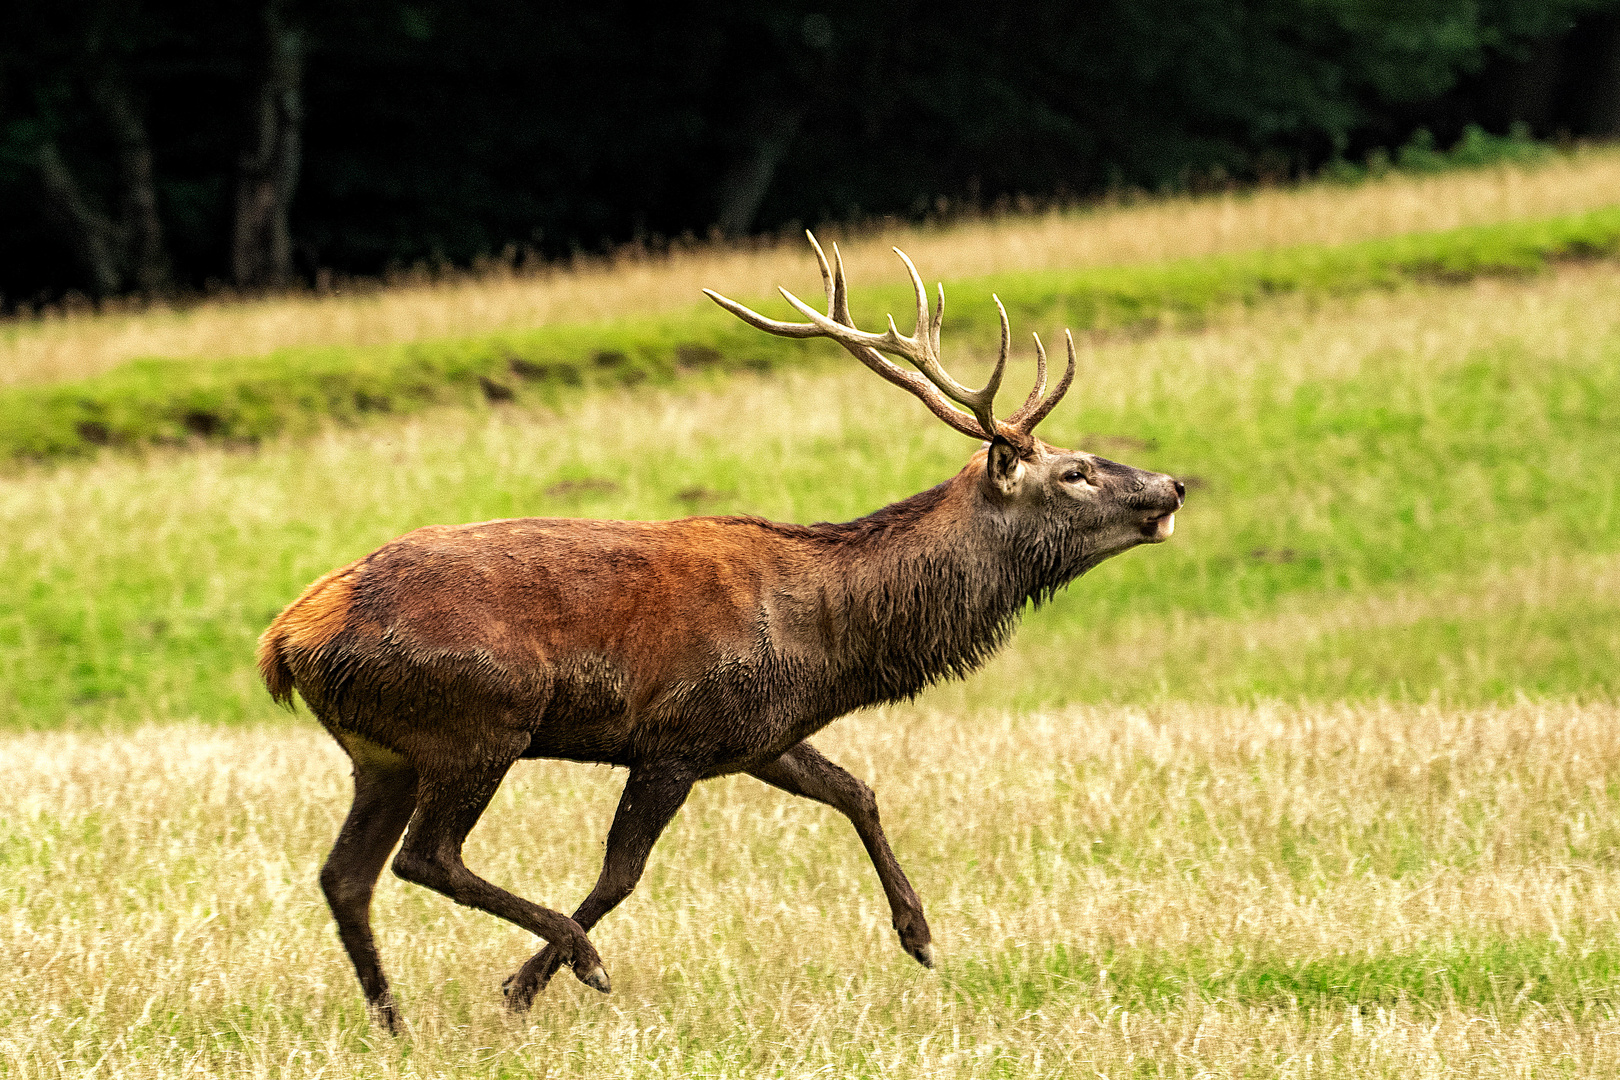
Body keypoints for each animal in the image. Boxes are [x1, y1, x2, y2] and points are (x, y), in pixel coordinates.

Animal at [259, 234, 1185, 1029]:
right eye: (1074, 471)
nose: (1171, 484)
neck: (828, 642)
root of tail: (284, 640)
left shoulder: (758, 736)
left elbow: (857, 790)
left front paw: (919, 935)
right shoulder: (678, 734)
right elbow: (621, 873)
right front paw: (527, 985)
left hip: (383, 751)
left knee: (345, 876)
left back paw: (393, 1023)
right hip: (478, 720)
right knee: (424, 858)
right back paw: (568, 955)